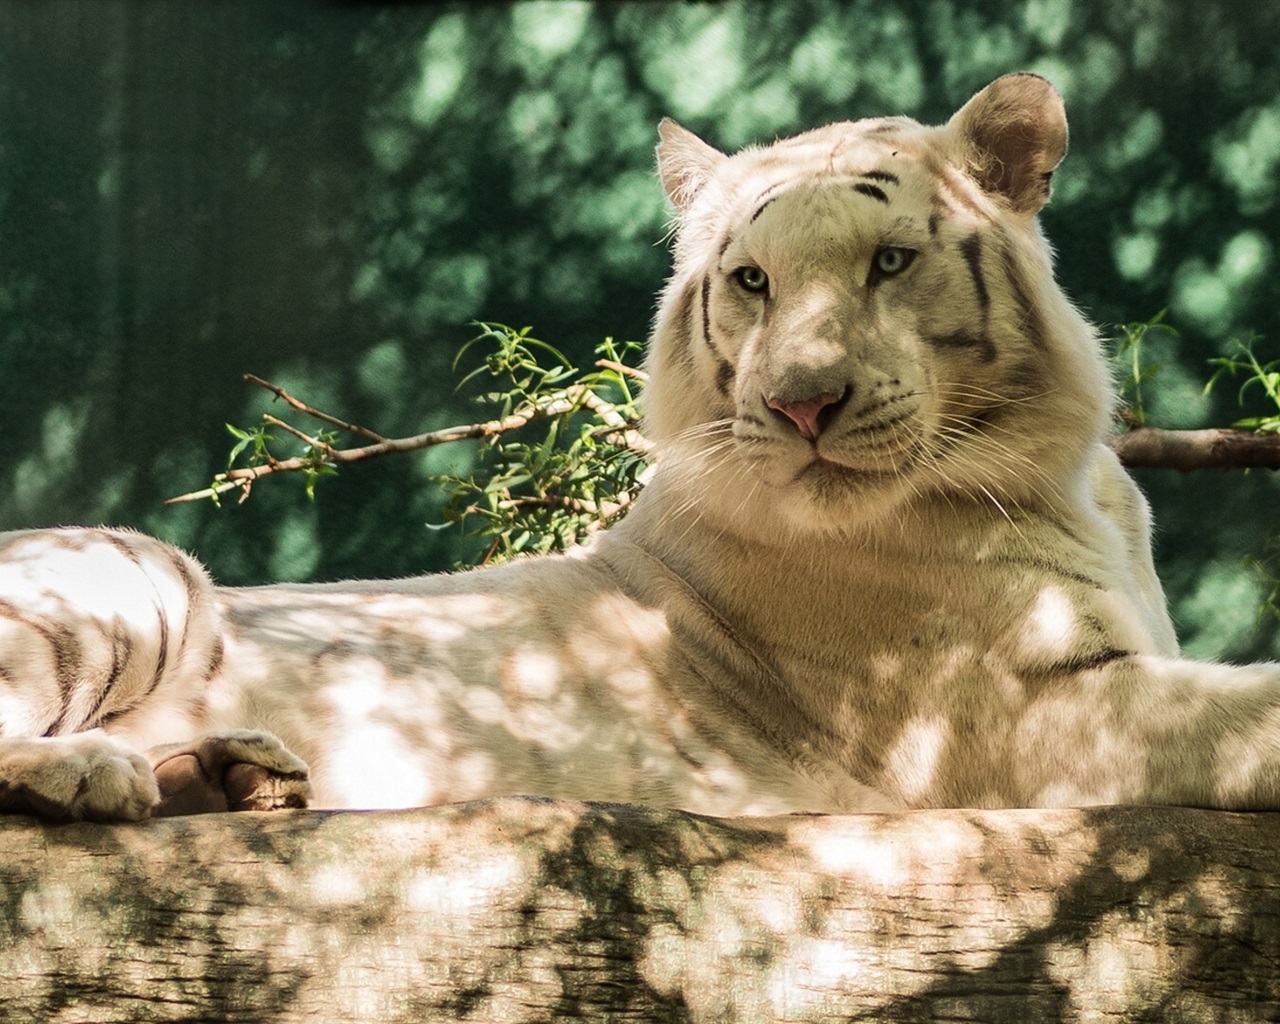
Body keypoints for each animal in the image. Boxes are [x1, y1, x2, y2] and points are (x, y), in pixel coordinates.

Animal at [2, 73, 1280, 824]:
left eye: (888, 262)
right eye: (752, 280)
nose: (802, 404)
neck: (1064, 476)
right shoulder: (1017, 713)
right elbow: (1243, 713)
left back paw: (231, 775)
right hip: (140, 569)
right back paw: (94, 775)